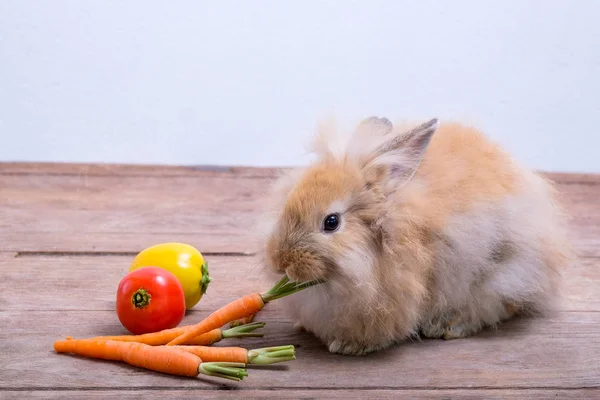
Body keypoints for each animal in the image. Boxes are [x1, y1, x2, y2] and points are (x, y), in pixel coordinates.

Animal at [255, 115, 576, 356]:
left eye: (331, 222)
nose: (279, 262)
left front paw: (347, 346)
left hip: (504, 275)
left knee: (498, 306)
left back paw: (447, 327)